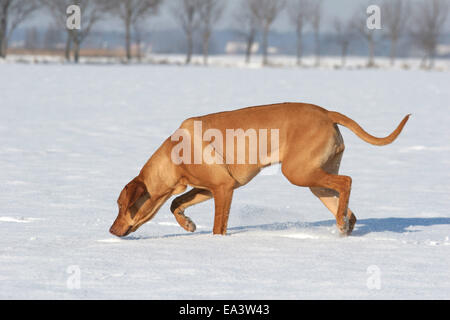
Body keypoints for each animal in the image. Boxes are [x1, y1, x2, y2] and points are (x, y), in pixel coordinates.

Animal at [110, 102, 412, 238]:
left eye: (121, 205)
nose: (111, 230)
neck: (175, 157)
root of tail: (327, 112)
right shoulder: (208, 188)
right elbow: (175, 202)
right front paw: (188, 224)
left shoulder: (223, 189)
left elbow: (218, 226)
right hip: (315, 181)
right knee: (348, 207)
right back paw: (344, 226)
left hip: (298, 173)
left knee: (347, 181)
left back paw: (340, 223)